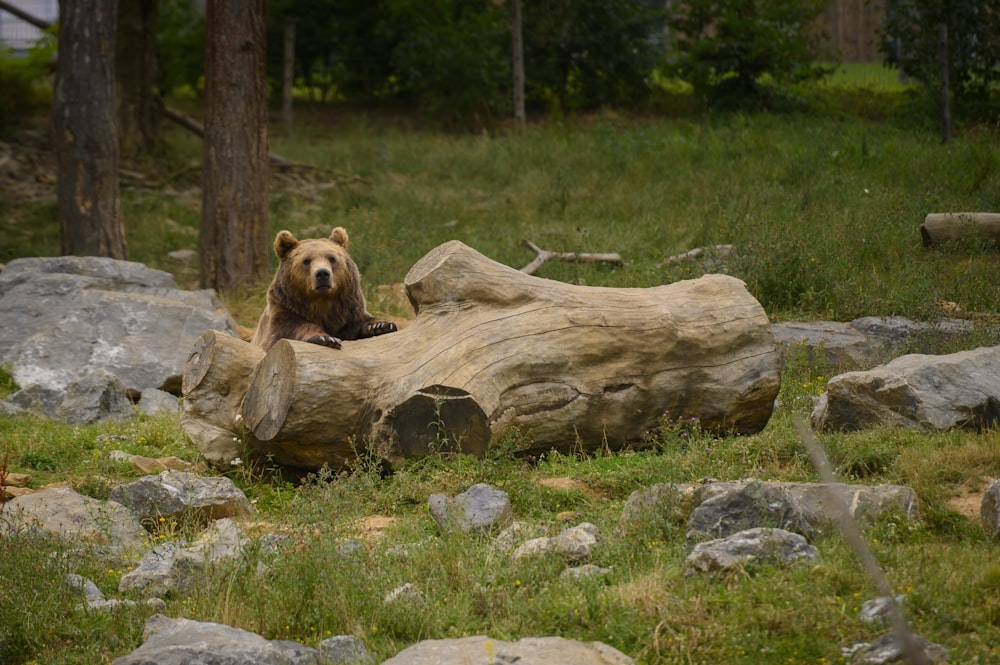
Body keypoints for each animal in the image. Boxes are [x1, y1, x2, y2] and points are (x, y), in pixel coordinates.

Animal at [250, 228, 398, 350]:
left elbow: (362, 321)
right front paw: (326, 338)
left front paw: (380, 326)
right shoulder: (284, 309)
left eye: (332, 258)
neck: (321, 302)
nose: (322, 273)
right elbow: (290, 329)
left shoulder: (348, 311)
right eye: (306, 260)